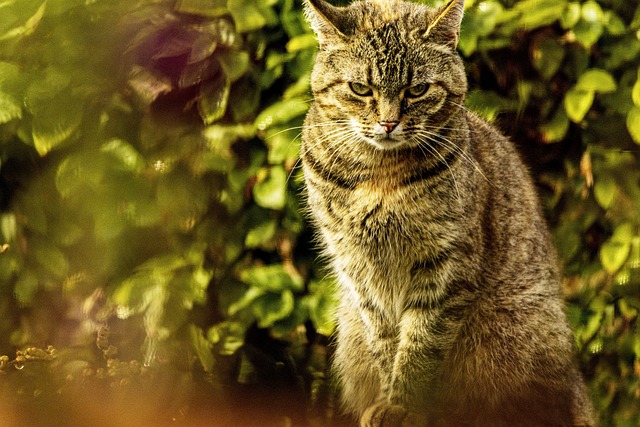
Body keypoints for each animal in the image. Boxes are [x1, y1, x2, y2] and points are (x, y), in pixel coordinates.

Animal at [300, 0, 596, 426]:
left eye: (417, 89)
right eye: (360, 88)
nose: (388, 123)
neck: (379, 175)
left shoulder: (446, 262)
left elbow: (419, 345)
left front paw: (403, 406)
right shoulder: (359, 270)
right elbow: (386, 343)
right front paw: (389, 399)